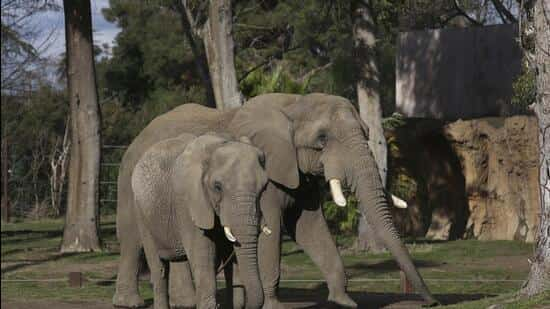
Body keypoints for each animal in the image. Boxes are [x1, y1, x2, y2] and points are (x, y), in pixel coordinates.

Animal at [134, 133, 272, 308]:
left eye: (264, 187)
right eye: (217, 187)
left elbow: (232, 260)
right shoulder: (188, 202)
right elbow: (203, 257)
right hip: (142, 212)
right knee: (159, 269)